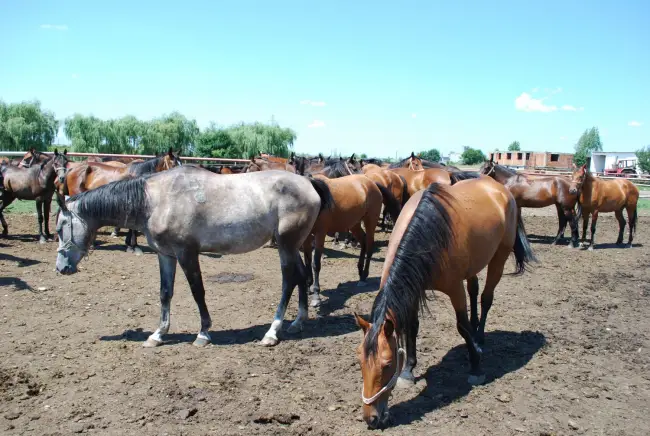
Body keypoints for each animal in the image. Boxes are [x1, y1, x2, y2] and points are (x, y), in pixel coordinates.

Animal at [53, 167, 332, 348]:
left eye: (59, 229)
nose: (61, 267)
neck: (156, 200)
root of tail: (308, 182)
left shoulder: (187, 253)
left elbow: (198, 291)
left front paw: (203, 333)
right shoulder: (166, 255)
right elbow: (165, 292)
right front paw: (158, 334)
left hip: (286, 244)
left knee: (288, 280)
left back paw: (272, 332)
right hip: (293, 246)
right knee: (301, 276)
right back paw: (298, 321)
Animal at [298, 174, 394, 306]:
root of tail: (372, 183)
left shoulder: (320, 234)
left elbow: (316, 264)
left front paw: (316, 295)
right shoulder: (307, 238)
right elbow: (307, 262)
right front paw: (308, 288)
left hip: (370, 222)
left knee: (369, 246)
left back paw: (364, 276)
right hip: (355, 224)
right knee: (363, 242)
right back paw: (360, 272)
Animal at [352, 178, 536, 430]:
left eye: (387, 364)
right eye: (360, 361)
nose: (371, 419)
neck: (427, 234)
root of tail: (500, 188)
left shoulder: (454, 288)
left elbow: (462, 326)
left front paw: (476, 366)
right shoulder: (413, 286)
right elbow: (412, 327)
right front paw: (409, 370)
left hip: (499, 257)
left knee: (486, 298)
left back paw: (479, 338)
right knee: (474, 290)